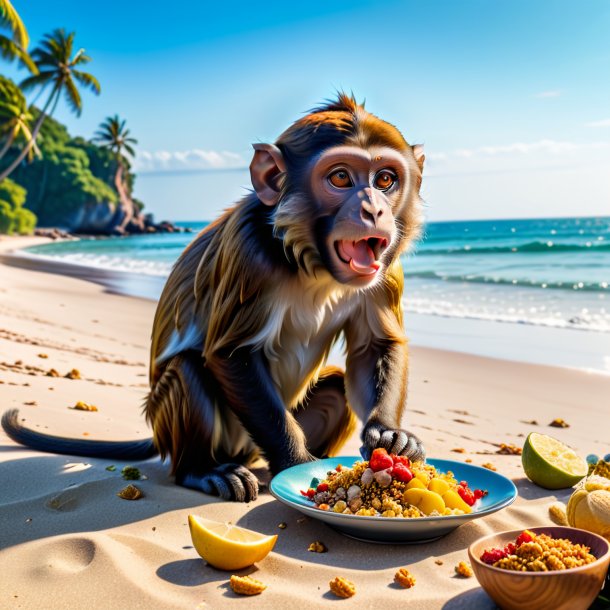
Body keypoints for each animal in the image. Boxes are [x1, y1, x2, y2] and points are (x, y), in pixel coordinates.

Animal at [2, 94, 422, 498]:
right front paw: (296, 465)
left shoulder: (385, 266)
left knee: (335, 387)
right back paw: (202, 470)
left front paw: (388, 434)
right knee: (188, 368)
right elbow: (231, 353)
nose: (374, 210)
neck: (309, 261)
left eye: (385, 179)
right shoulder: (247, 253)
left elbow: (375, 345)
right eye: (340, 177)